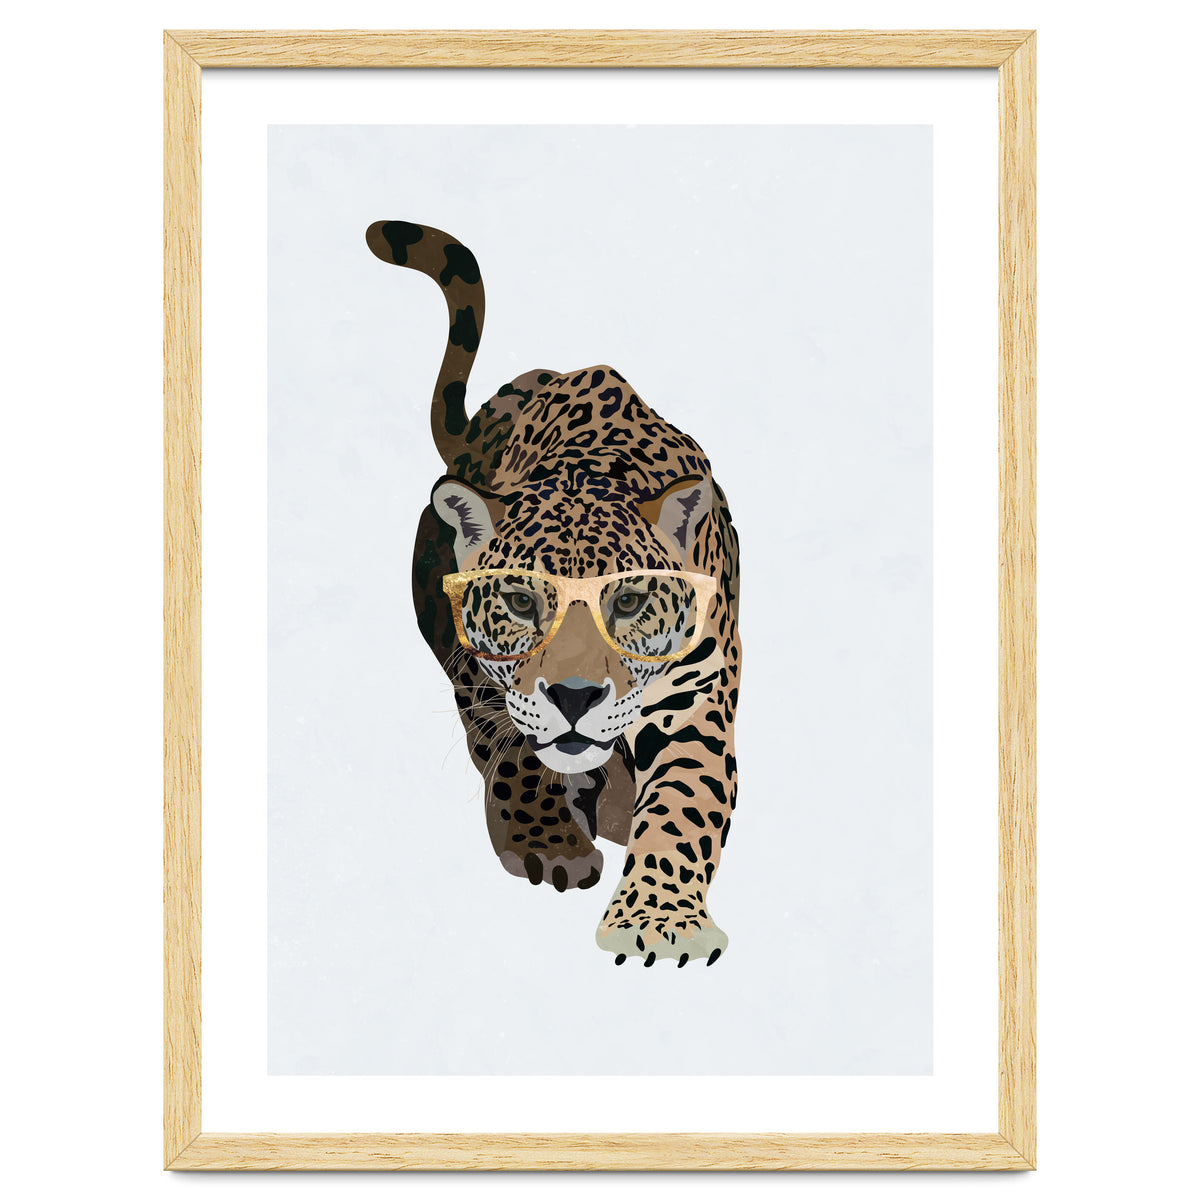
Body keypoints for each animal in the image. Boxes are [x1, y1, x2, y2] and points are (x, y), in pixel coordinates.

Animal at [366, 220, 741, 966]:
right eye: (519, 602)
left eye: (626, 602)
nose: (574, 697)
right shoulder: (483, 672)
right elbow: (514, 750)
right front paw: (549, 843)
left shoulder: (696, 694)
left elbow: (684, 802)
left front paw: (658, 921)